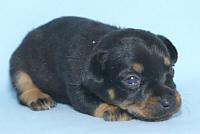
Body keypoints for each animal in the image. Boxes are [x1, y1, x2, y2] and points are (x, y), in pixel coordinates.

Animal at [9, 16, 181, 121]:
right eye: (131, 80)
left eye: (171, 71)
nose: (171, 101)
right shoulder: (76, 88)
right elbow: (92, 102)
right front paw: (113, 109)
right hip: (18, 64)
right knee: (23, 84)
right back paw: (38, 97)